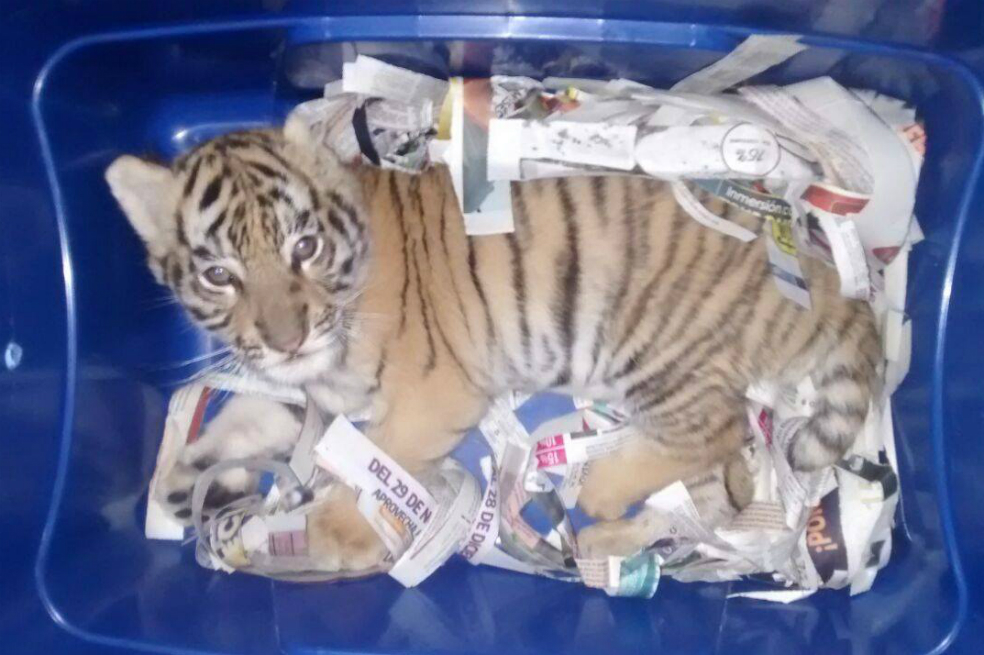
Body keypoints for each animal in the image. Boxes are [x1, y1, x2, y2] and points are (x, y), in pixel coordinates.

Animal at [105, 113, 880, 571]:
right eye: (218, 274)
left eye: (305, 246)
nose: (288, 339)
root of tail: (824, 275)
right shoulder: (311, 393)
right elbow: (242, 420)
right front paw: (184, 484)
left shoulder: (431, 392)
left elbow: (378, 466)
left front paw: (326, 535)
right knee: (720, 497)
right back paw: (607, 543)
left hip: (657, 348)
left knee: (715, 430)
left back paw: (601, 491)